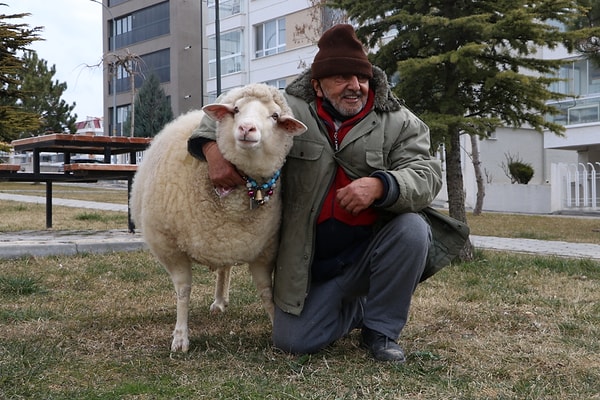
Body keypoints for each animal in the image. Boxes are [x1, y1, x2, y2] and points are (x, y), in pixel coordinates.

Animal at [127, 83, 304, 352]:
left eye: (275, 116)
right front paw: (180, 337)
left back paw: (221, 299)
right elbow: (183, 290)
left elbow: (266, 291)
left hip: (227, 239)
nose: (246, 129)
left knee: (224, 268)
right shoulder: (169, 247)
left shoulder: (265, 248)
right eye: (236, 109)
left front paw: (277, 324)